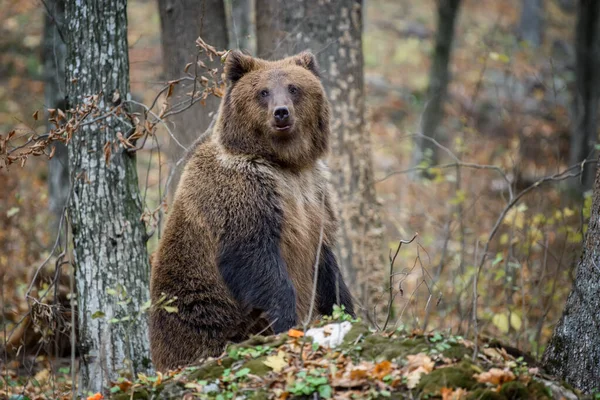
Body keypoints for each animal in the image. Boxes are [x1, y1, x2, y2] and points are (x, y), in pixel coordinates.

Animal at [149, 49, 354, 372]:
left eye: (293, 88)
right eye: (263, 92)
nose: (281, 113)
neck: (284, 164)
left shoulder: (315, 196)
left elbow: (325, 261)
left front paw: (344, 308)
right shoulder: (243, 194)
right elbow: (255, 259)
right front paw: (286, 320)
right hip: (206, 315)